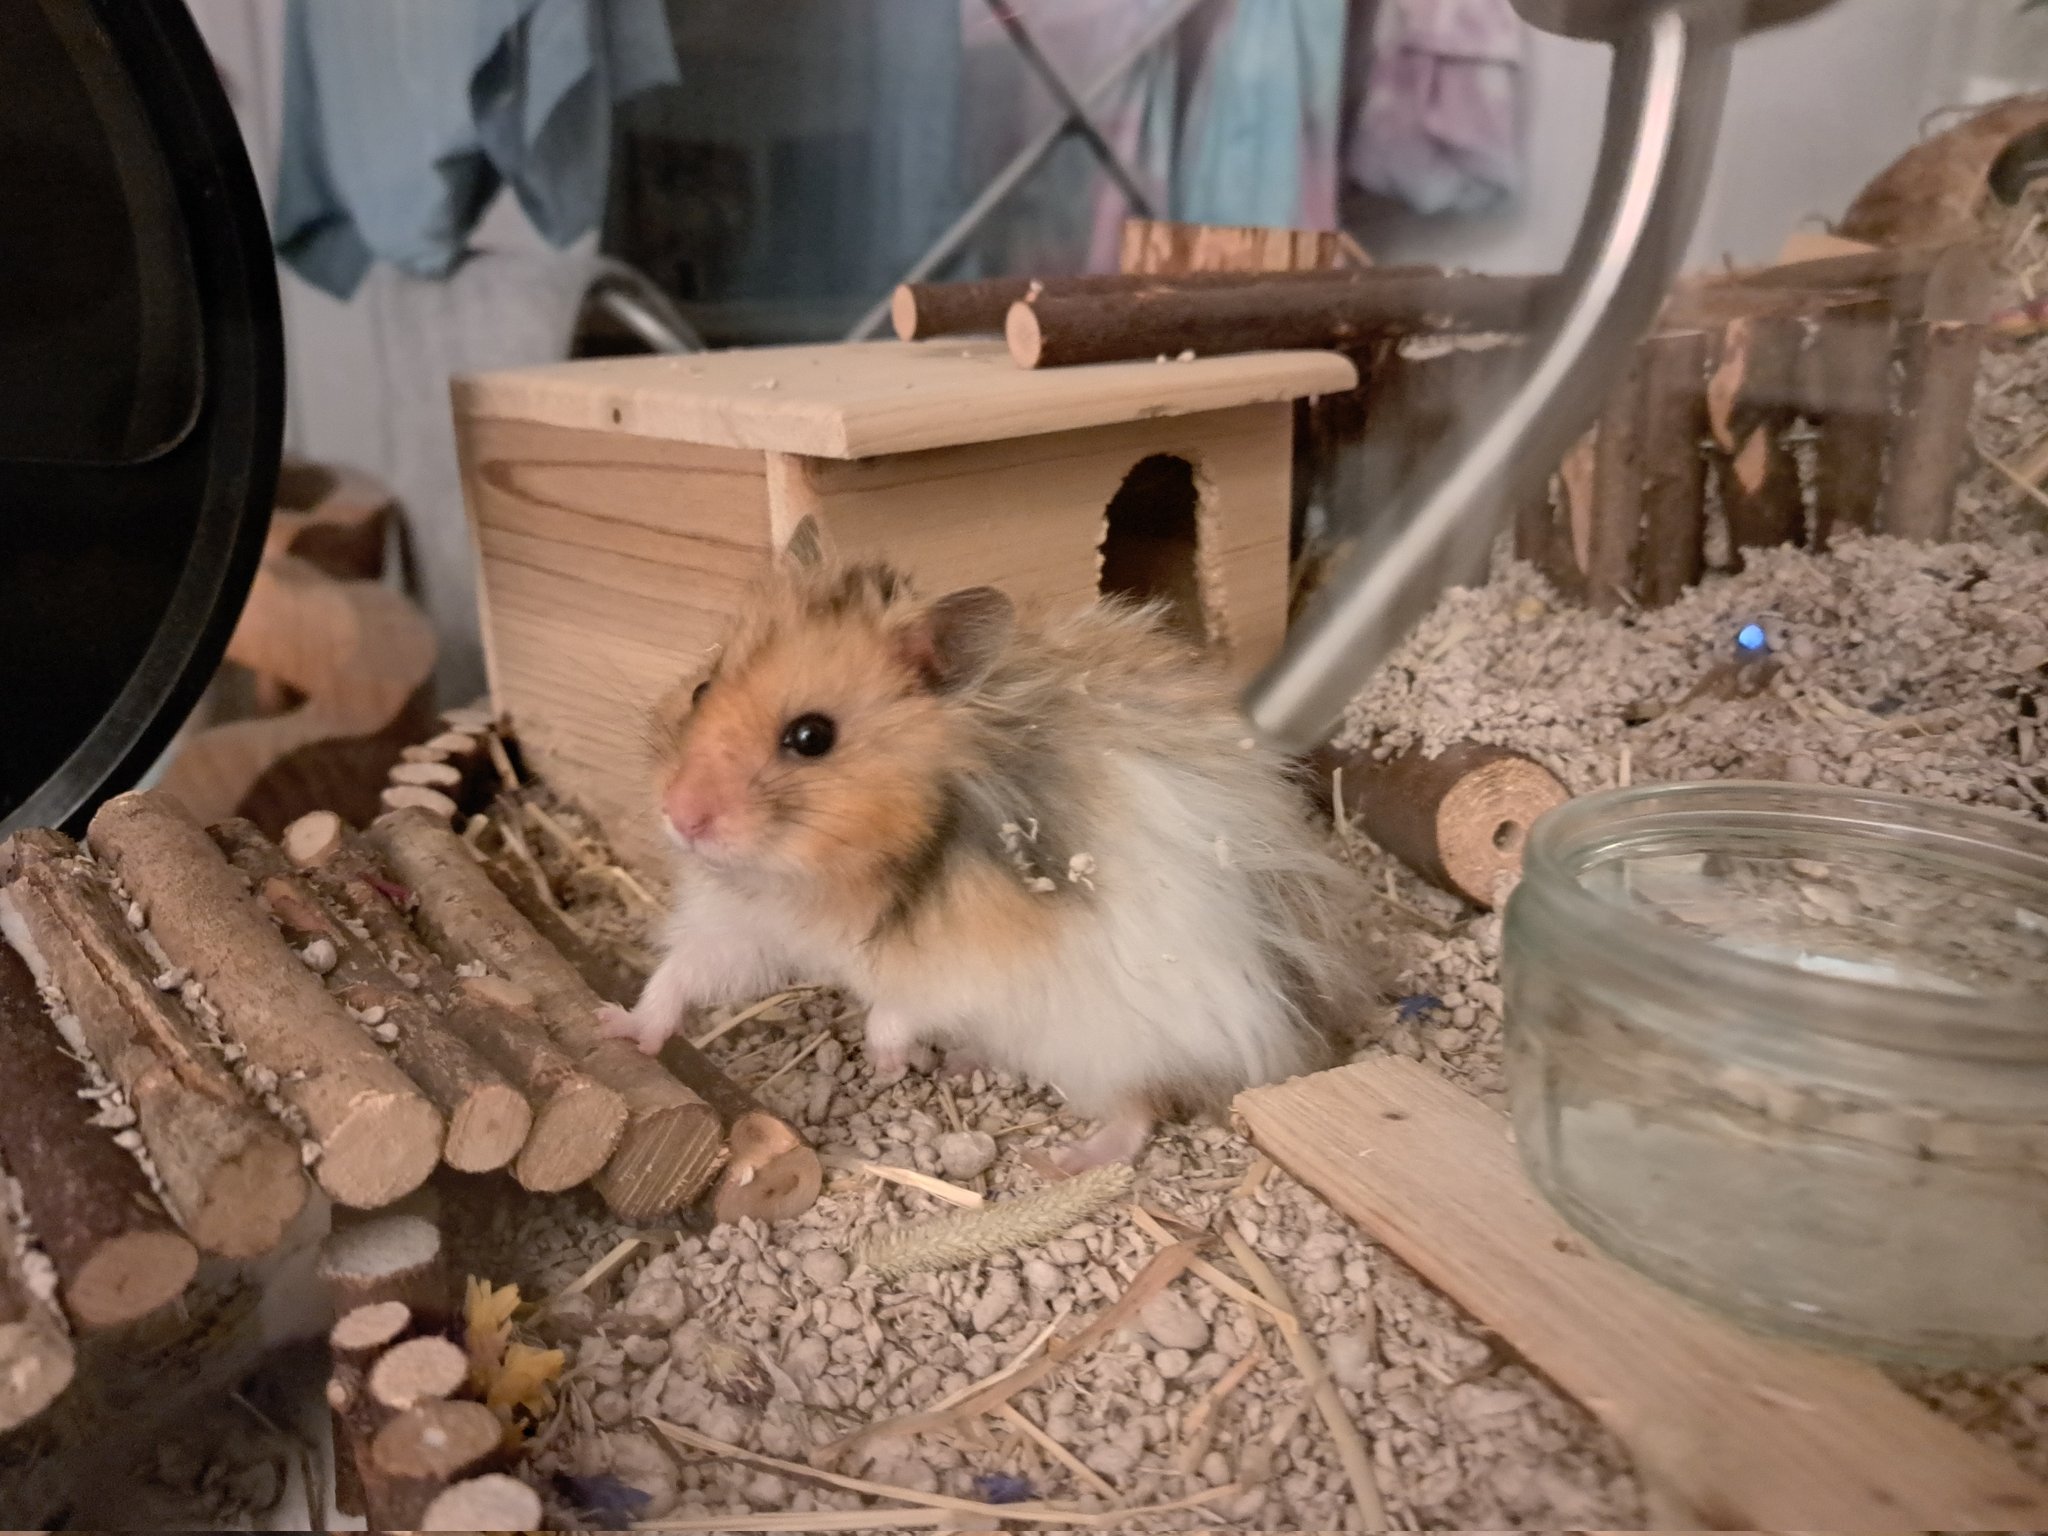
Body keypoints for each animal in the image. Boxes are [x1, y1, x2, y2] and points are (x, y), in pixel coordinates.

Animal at [598, 537, 1378, 1171]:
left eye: (811, 736)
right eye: (701, 689)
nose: (680, 817)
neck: (829, 876)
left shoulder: (972, 962)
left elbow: (900, 1005)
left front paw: (887, 1064)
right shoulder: (747, 926)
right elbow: (681, 976)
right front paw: (619, 1029)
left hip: (1118, 1045)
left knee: (1140, 1107)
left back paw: (1066, 1160)